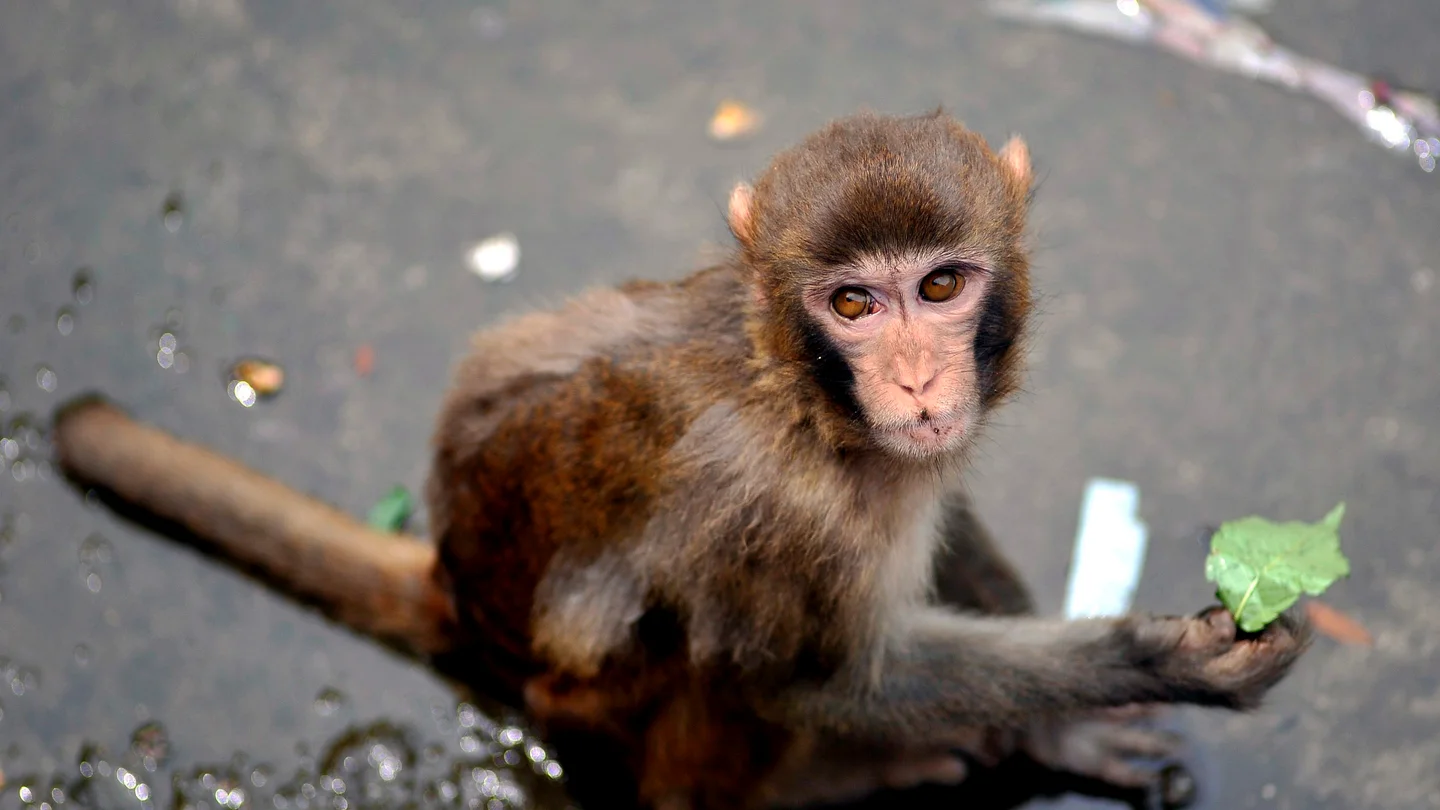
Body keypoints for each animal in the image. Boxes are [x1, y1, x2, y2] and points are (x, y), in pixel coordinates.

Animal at [53, 109, 1309, 810]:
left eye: (942, 285)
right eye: (854, 304)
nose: (913, 380)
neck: (804, 396)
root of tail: (455, 588)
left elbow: (943, 518)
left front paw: (1057, 732)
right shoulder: (787, 512)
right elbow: (813, 679)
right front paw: (1149, 659)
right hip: (591, 707)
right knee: (697, 648)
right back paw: (815, 782)